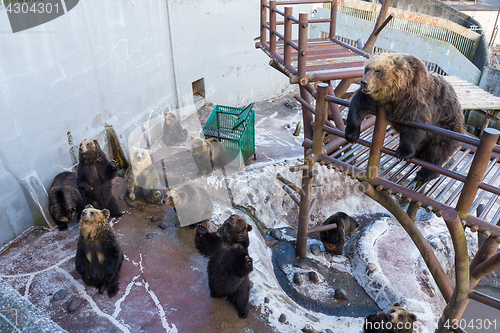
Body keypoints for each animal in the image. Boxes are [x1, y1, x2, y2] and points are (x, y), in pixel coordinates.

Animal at [344, 53, 464, 182]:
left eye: (378, 71)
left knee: (438, 150)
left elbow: (413, 126)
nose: (364, 82)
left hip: (446, 125)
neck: (394, 93)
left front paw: (403, 153)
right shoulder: (373, 98)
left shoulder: (413, 100)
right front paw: (351, 135)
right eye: (367, 68)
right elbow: (358, 106)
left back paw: (425, 173)